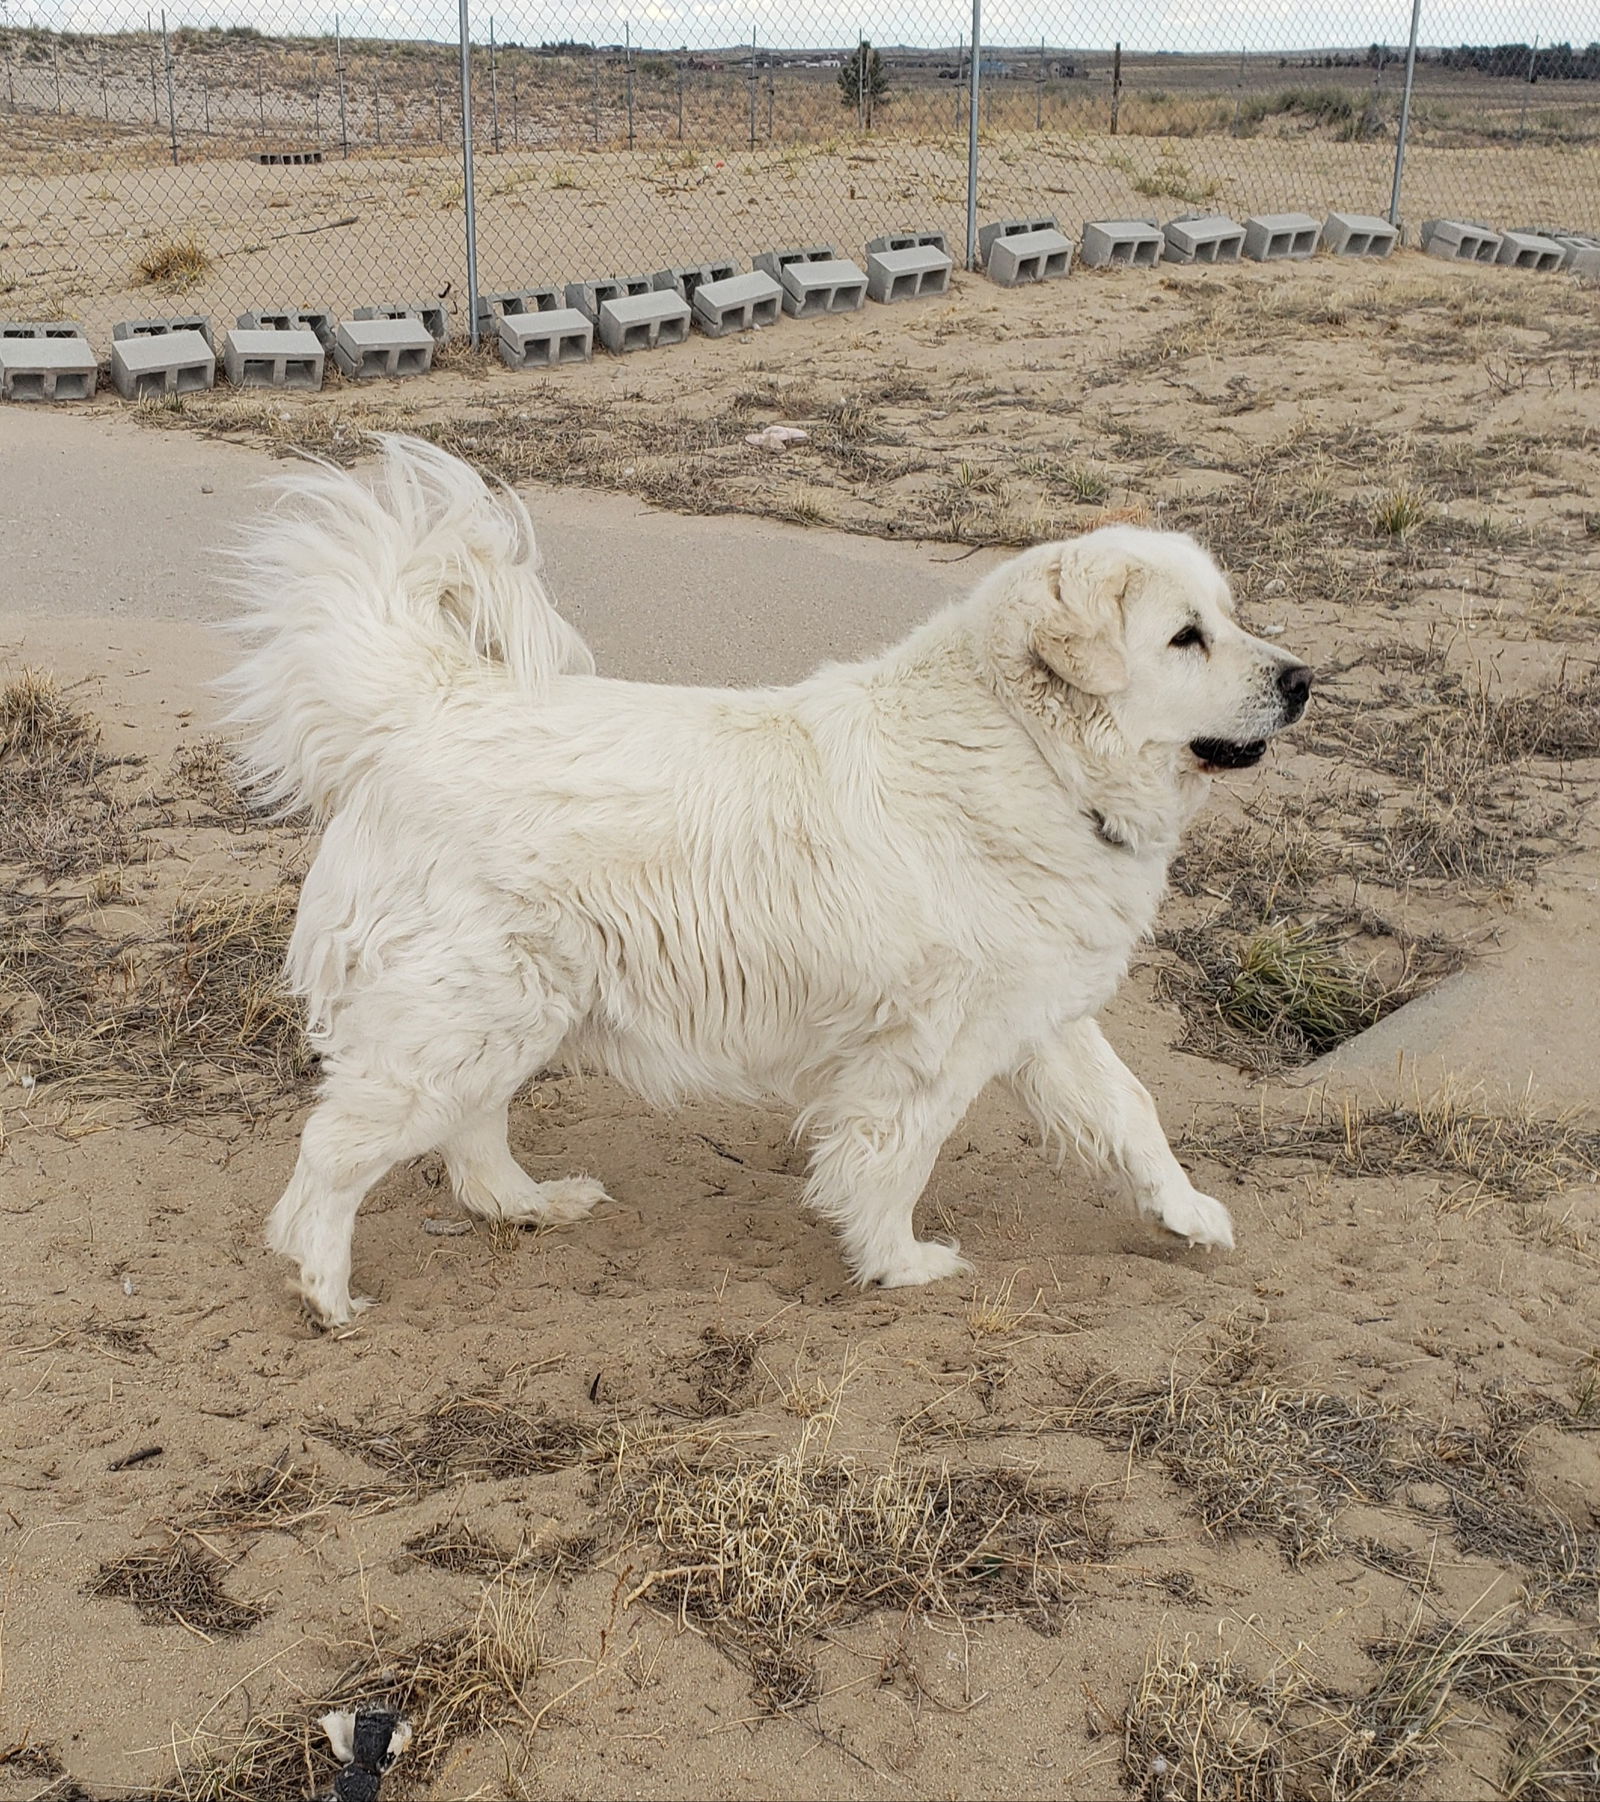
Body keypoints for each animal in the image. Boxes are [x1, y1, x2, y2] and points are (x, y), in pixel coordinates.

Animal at [227, 428, 1311, 1319]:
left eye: (1227, 617)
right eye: (1185, 636)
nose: (1302, 679)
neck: (1031, 750)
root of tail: (430, 704)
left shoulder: (1040, 1014)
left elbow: (1131, 1112)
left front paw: (1186, 1214)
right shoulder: (930, 1048)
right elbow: (895, 1159)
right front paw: (897, 1263)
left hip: (508, 1014)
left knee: (470, 1133)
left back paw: (530, 1203)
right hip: (466, 1013)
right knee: (335, 1152)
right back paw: (325, 1288)